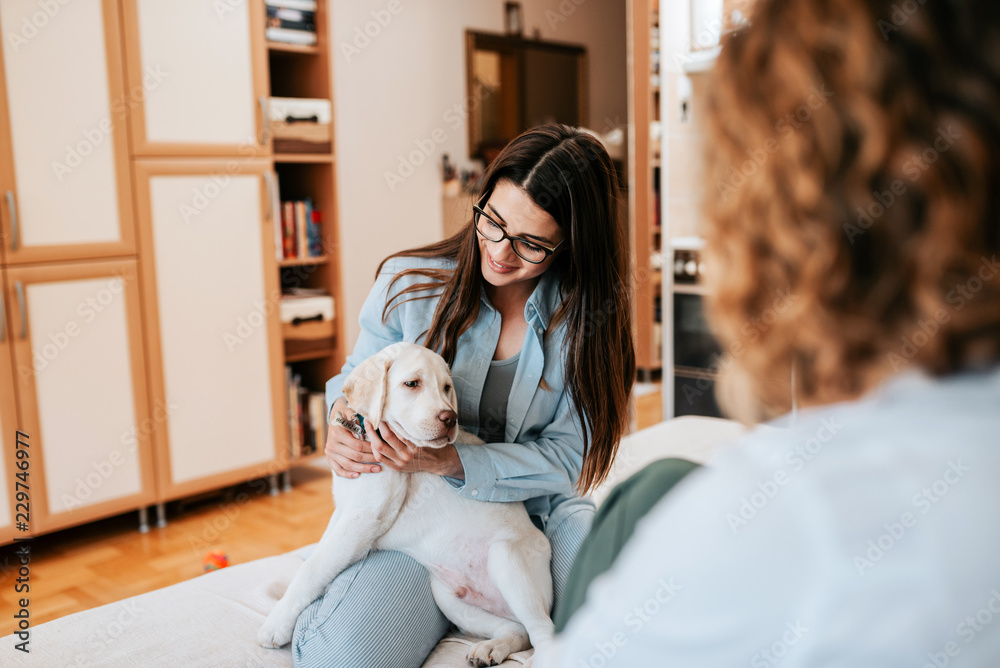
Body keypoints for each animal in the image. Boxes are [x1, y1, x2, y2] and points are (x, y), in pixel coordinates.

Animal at [258, 342, 556, 664]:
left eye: (447, 387)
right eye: (412, 384)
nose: (450, 418)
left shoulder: (363, 517)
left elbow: (312, 569)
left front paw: (276, 624)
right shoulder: (346, 511)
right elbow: (321, 555)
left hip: (506, 558)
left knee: (544, 632)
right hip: (447, 596)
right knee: (518, 630)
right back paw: (491, 648)